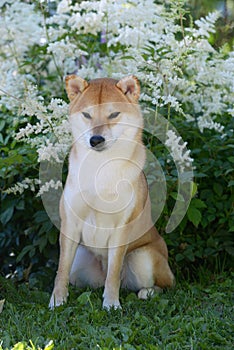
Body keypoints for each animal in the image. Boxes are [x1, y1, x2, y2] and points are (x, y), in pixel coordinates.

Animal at [49, 74, 174, 308]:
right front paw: (57, 301)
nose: (96, 139)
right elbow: (61, 270)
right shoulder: (70, 224)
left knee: (166, 285)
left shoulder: (121, 228)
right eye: (87, 114)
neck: (101, 169)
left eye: (114, 114)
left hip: (142, 257)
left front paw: (111, 304)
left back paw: (147, 292)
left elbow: (114, 273)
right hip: (80, 259)